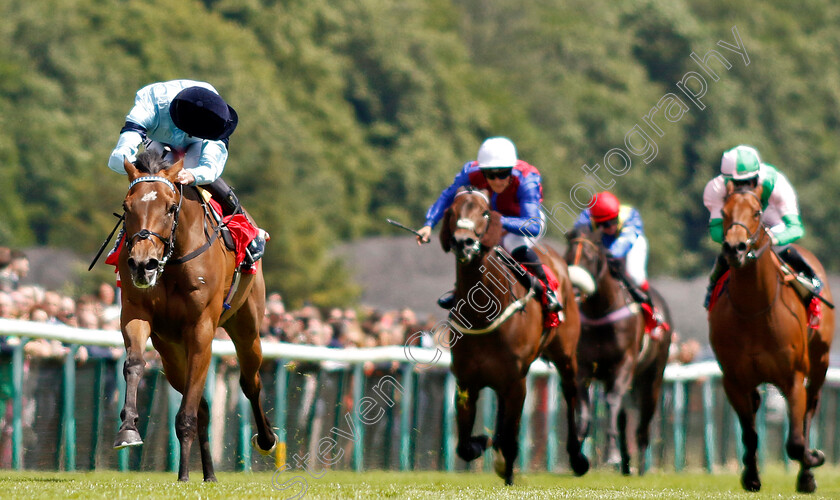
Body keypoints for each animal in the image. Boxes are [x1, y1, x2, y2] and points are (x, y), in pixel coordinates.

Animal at [113, 151, 278, 480]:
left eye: (170, 207)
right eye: (127, 206)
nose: (143, 264)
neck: (172, 261)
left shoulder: (201, 329)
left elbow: (187, 411)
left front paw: (183, 475)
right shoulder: (137, 314)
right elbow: (134, 363)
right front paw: (128, 429)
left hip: (247, 328)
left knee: (249, 381)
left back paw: (266, 440)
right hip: (171, 354)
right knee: (202, 405)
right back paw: (209, 472)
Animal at [440, 188, 592, 484]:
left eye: (484, 212)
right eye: (452, 212)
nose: (463, 242)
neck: (484, 313)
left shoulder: (516, 381)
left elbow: (510, 439)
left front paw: (505, 466)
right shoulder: (466, 381)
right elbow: (464, 446)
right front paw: (484, 442)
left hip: (566, 353)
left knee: (570, 391)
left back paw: (577, 458)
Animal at [564, 229, 676, 474]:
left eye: (589, 256)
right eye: (567, 256)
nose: (574, 290)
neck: (600, 311)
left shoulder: (624, 364)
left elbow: (613, 401)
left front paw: (611, 454)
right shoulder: (584, 367)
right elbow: (585, 410)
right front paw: (577, 455)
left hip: (652, 376)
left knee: (643, 421)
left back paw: (640, 465)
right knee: (625, 418)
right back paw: (626, 464)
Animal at [708, 184, 832, 492]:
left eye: (756, 212)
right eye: (724, 212)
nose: (735, 247)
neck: (754, 310)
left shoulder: (793, 378)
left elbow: (796, 442)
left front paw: (813, 461)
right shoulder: (734, 380)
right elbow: (750, 434)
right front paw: (751, 476)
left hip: (820, 364)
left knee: (810, 410)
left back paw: (807, 474)